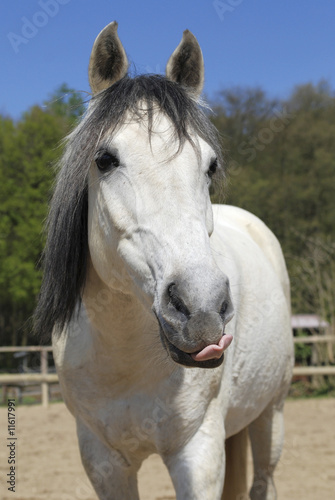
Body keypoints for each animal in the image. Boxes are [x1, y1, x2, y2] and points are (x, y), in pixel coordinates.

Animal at [35, 20, 294, 500]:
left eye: (210, 165)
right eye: (104, 159)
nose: (202, 309)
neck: (125, 360)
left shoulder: (198, 453)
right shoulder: (104, 463)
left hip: (273, 413)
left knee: (263, 479)